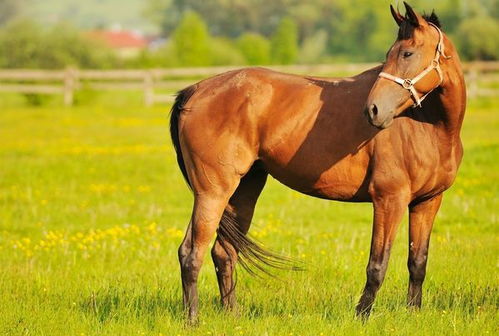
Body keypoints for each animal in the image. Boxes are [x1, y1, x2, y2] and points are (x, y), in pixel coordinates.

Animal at [170, 2, 466, 322]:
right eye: (391, 53)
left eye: (407, 53)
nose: (373, 110)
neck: (429, 125)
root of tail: (194, 91)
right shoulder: (389, 200)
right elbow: (377, 264)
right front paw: (361, 316)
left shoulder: (428, 201)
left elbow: (418, 261)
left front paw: (413, 313)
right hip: (212, 192)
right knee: (191, 252)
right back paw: (193, 319)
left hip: (244, 190)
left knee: (223, 252)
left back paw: (232, 315)